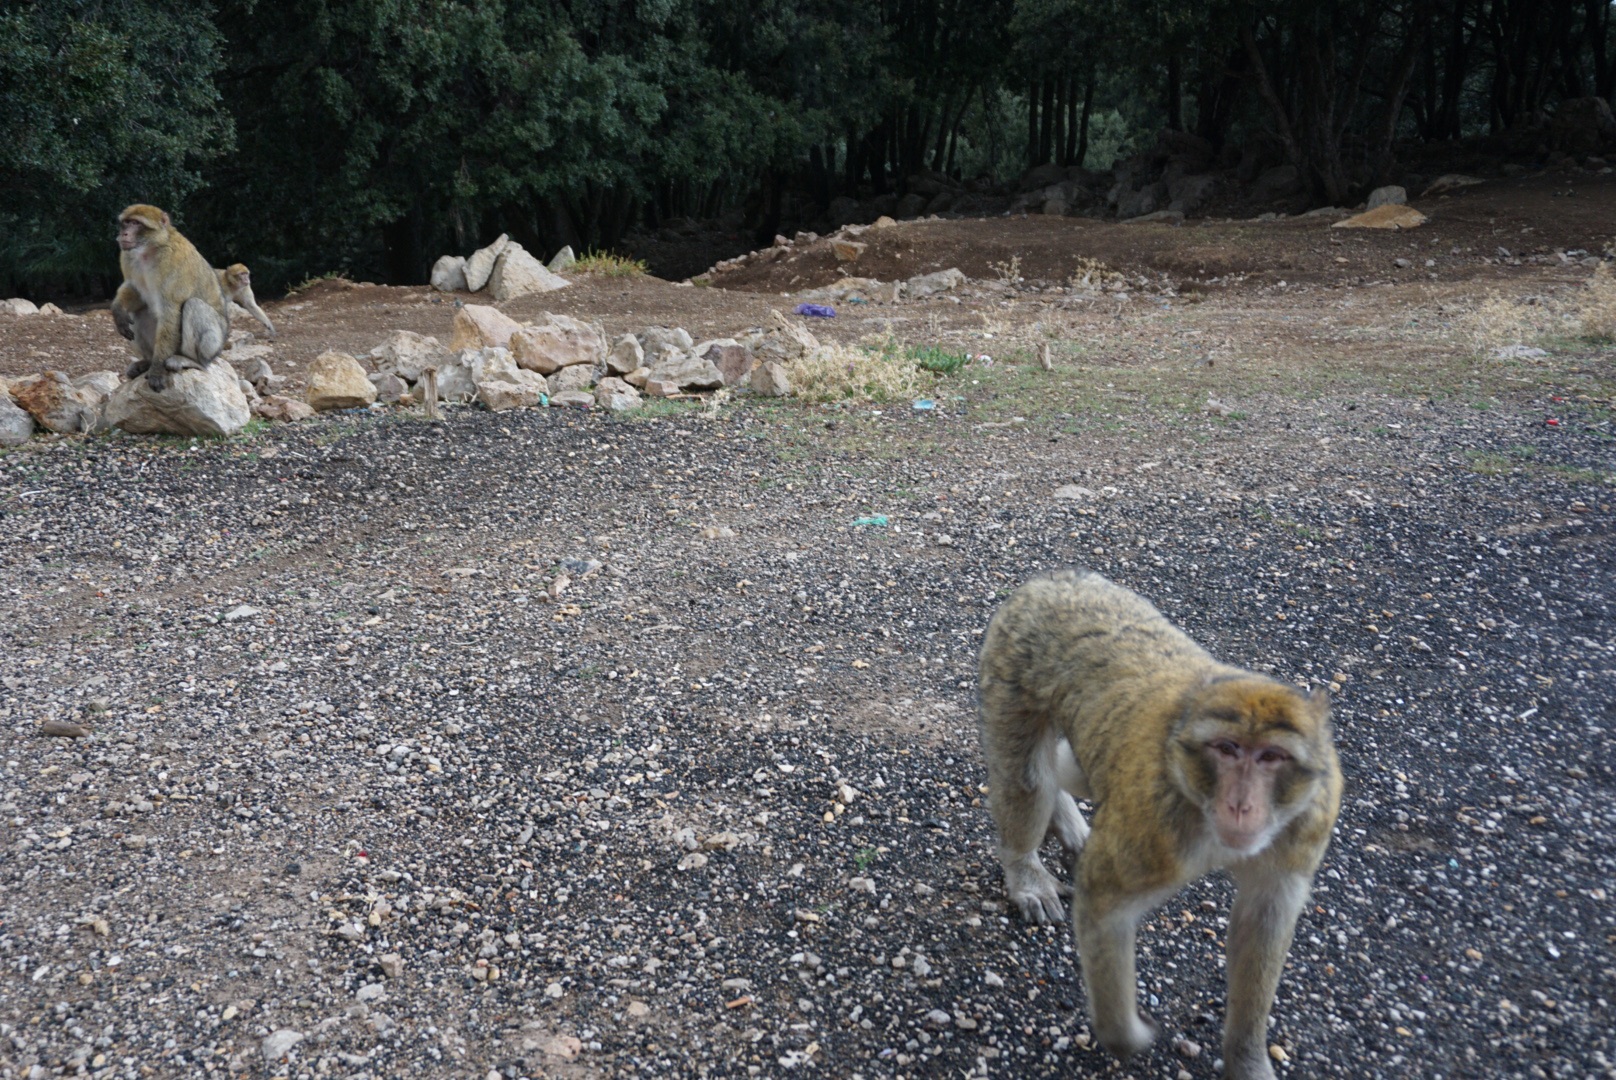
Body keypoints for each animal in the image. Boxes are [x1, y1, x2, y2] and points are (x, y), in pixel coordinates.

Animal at [109, 204, 231, 389]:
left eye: (136, 223)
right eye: (126, 223)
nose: (124, 234)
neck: (150, 249)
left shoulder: (174, 262)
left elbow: (170, 313)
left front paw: (157, 370)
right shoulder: (127, 257)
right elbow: (135, 291)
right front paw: (118, 310)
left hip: (214, 346)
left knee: (193, 305)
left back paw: (191, 361)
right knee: (138, 312)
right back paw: (147, 361)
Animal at [976, 569, 1344, 1073]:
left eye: (1272, 757)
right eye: (1227, 749)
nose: (1241, 805)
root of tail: (1056, 579)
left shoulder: (1309, 824)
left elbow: (1262, 921)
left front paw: (1247, 1058)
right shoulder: (1151, 827)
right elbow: (1103, 903)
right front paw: (1124, 1035)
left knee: (1067, 770)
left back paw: (1065, 817)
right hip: (1013, 667)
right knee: (1028, 778)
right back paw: (1025, 867)